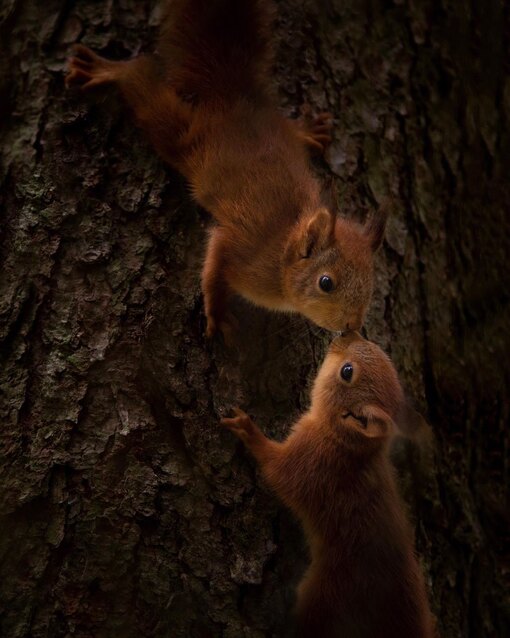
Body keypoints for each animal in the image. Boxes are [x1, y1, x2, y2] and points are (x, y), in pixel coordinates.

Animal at [66, 0, 386, 342]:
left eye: (371, 286)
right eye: (326, 283)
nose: (352, 325)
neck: (283, 253)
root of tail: (235, 96)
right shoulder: (240, 248)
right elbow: (214, 267)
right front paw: (217, 314)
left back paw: (307, 131)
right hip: (186, 136)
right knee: (142, 81)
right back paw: (107, 70)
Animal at [221, 332, 436, 636]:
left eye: (347, 372)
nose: (348, 333)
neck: (346, 443)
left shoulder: (311, 464)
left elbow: (276, 470)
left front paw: (248, 430)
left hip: (327, 596)